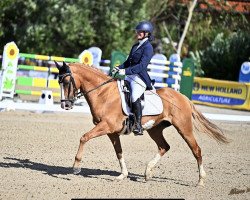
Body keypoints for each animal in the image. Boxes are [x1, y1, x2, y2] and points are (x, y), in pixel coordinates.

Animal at [54, 62, 229, 186]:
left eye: (67, 81)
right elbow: (119, 152)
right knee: (164, 146)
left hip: (184, 128)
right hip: (155, 129)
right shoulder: (112, 132)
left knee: (196, 150)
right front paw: (123, 175)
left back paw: (200, 180)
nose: (65, 105)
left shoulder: (106, 126)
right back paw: (148, 172)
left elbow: (84, 137)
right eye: (59, 81)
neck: (104, 94)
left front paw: (76, 166)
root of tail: (184, 97)